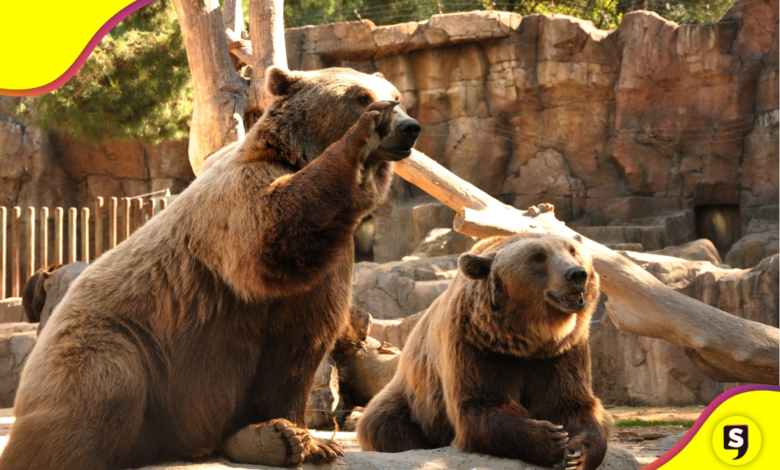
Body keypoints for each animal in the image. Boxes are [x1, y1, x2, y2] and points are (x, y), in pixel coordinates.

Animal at [0, 66, 420, 470]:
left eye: (397, 97)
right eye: (360, 96)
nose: (409, 127)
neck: (295, 156)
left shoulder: (325, 273)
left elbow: (296, 352)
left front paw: (305, 440)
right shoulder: (241, 200)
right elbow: (270, 230)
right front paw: (362, 139)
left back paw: (264, 440)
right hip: (119, 341)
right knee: (99, 396)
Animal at [357, 233, 611, 470]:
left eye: (573, 250)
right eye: (538, 256)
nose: (577, 274)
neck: (530, 338)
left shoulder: (562, 352)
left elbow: (571, 404)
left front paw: (577, 454)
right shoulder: (477, 346)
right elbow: (481, 405)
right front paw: (551, 438)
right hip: (413, 399)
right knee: (383, 424)